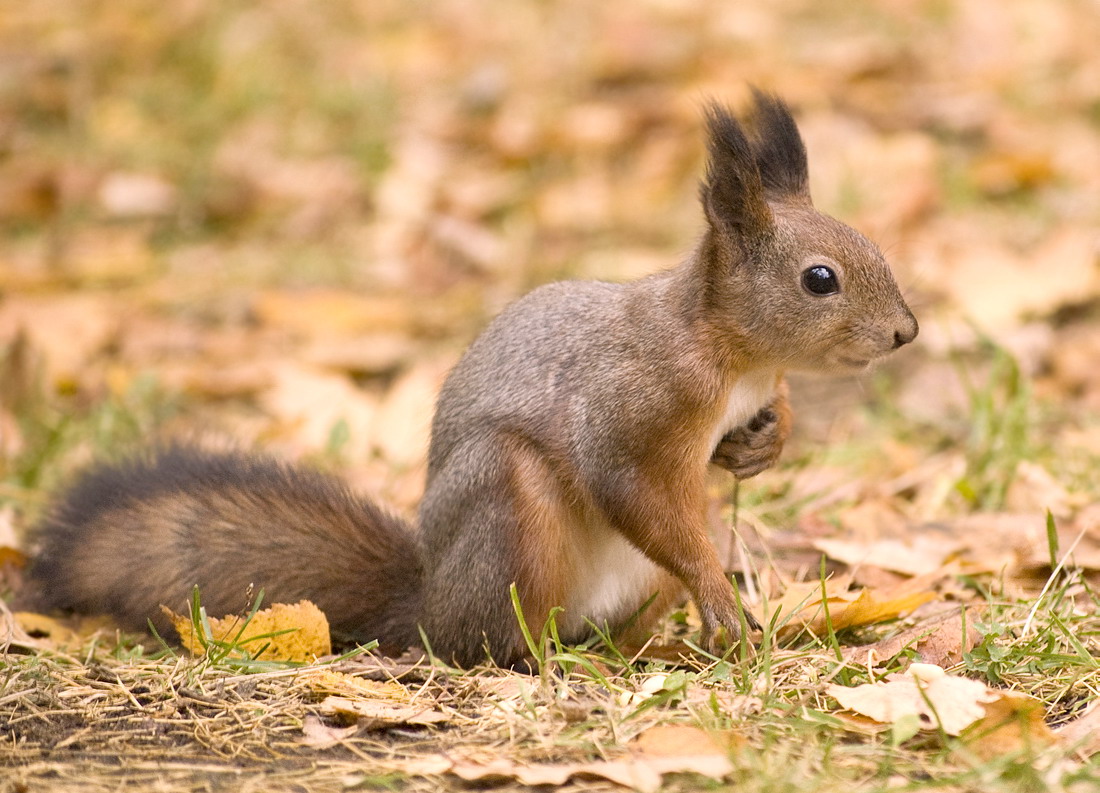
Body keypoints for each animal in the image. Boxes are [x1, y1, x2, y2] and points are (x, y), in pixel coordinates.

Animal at [27, 89, 919, 664]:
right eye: (819, 279)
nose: (906, 332)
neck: (735, 356)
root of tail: (428, 606)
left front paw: (764, 443)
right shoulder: (633, 403)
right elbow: (629, 485)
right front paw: (720, 596)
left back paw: (646, 649)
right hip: (509, 508)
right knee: (491, 640)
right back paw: (549, 659)